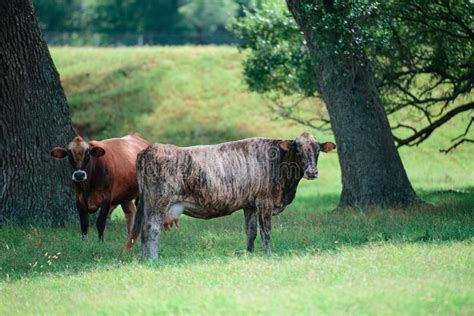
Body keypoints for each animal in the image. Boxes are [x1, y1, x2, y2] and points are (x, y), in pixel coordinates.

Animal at [124, 131, 336, 260]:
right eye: (297, 149)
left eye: (317, 150)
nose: (312, 172)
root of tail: (148, 149)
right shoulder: (265, 202)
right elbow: (266, 231)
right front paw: (268, 254)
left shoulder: (250, 205)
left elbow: (251, 231)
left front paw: (249, 254)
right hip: (158, 202)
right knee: (152, 229)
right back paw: (154, 259)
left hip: (149, 204)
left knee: (143, 230)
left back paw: (144, 259)